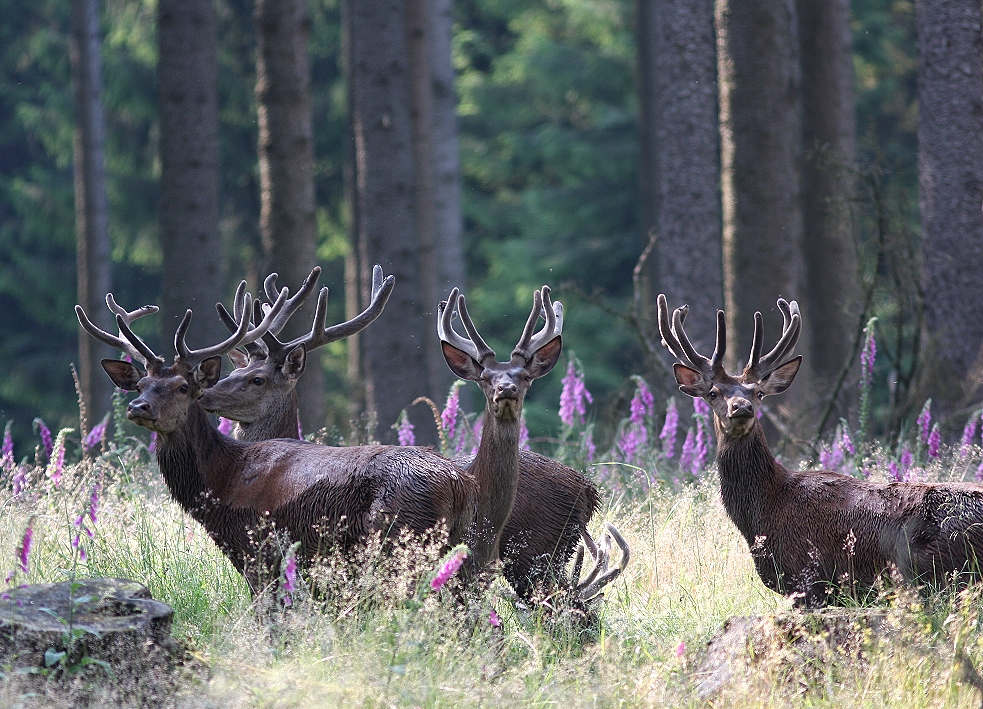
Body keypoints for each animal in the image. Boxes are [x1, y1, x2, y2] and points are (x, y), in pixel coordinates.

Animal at [656, 290, 983, 604]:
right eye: (713, 393)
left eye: (759, 392)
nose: (742, 407)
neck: (765, 512)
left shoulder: (809, 578)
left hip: (935, 570)